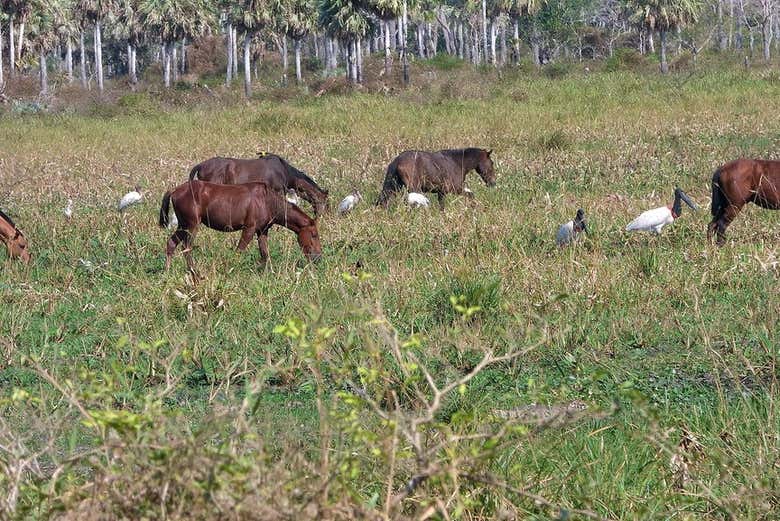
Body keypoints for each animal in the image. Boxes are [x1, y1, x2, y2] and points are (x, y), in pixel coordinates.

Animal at [159, 180, 322, 275]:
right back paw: (194, 271)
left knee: (171, 243)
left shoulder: (262, 231)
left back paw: (167, 271)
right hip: (192, 225)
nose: (318, 257)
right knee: (186, 247)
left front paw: (268, 273)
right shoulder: (249, 228)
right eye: (314, 234)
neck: (268, 201)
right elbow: (239, 252)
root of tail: (174, 190)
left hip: (183, 225)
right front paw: (230, 271)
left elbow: (265, 254)